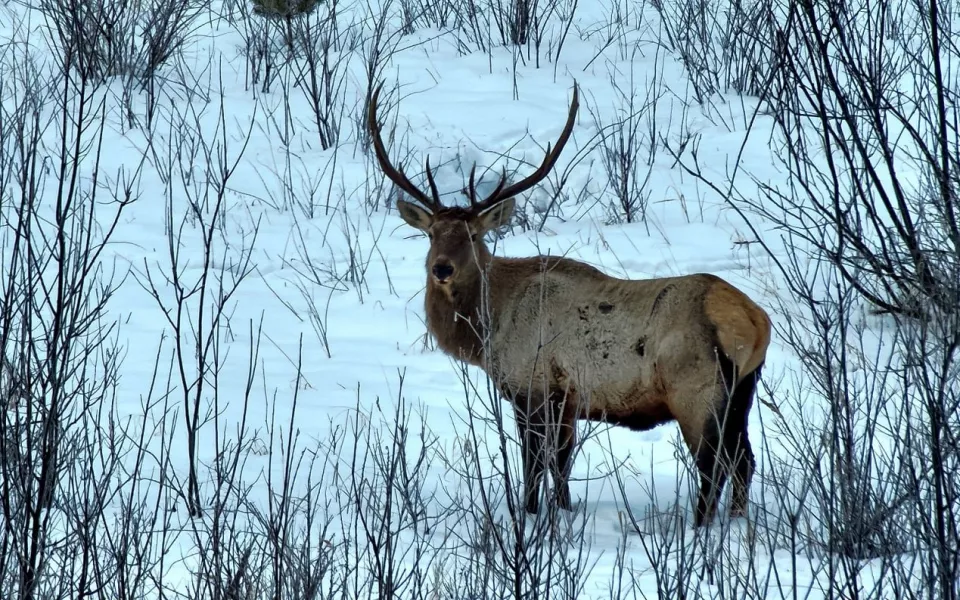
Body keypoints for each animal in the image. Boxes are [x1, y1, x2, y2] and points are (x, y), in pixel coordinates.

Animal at [368, 83, 772, 524]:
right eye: (432, 234)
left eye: (474, 236)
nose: (441, 268)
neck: (489, 329)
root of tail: (755, 322)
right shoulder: (568, 402)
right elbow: (561, 466)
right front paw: (563, 512)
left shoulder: (531, 387)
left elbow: (533, 467)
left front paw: (528, 516)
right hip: (742, 392)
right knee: (744, 461)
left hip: (696, 389)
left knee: (713, 466)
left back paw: (700, 529)